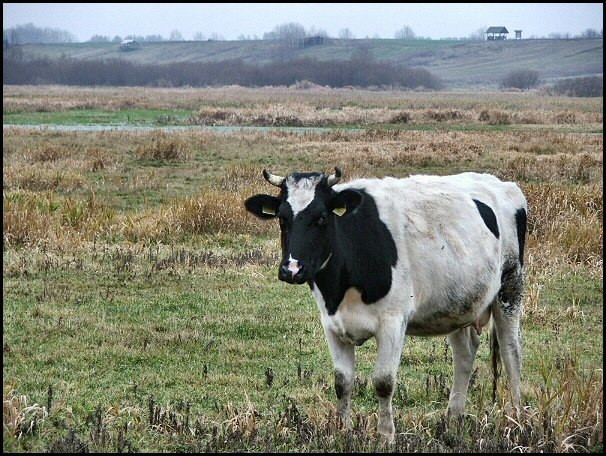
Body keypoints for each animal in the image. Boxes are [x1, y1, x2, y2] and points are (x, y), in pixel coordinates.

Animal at [245, 167, 528, 442]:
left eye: (322, 218)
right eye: (282, 218)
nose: (292, 269)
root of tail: (501, 182)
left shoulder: (393, 322)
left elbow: (383, 382)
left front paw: (386, 437)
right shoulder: (331, 323)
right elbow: (342, 382)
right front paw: (342, 432)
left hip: (510, 288)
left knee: (511, 353)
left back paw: (517, 420)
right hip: (457, 305)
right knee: (465, 355)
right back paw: (453, 420)